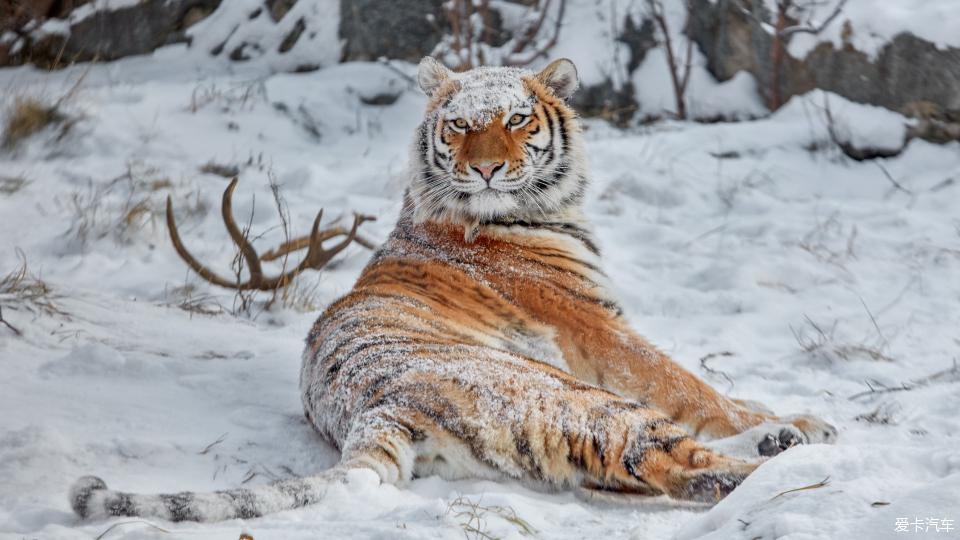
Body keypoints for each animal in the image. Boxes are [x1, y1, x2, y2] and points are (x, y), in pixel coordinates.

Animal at [69, 56, 832, 524]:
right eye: (460, 123)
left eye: (517, 119)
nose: (488, 169)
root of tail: (376, 408)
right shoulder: (599, 328)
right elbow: (690, 385)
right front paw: (788, 416)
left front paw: (783, 415)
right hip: (575, 395)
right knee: (676, 460)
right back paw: (795, 458)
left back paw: (783, 442)